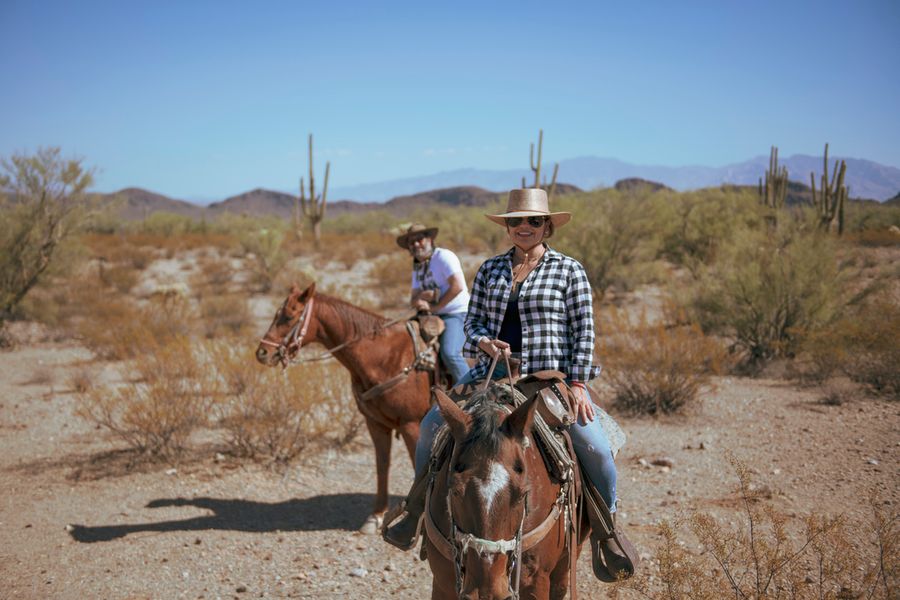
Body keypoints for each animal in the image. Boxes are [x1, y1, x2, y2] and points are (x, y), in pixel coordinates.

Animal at [255, 284, 434, 532]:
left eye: (289, 316)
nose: (262, 353)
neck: (386, 356)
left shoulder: (411, 425)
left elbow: (418, 468)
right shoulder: (375, 424)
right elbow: (382, 465)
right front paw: (376, 516)